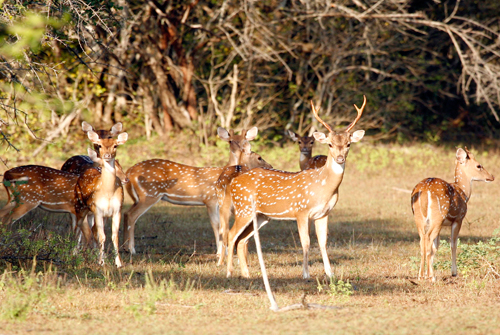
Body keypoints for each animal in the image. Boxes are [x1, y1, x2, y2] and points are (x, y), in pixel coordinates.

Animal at [124, 127, 266, 256]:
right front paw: (220, 252)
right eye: (230, 141)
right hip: (150, 194)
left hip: (140, 197)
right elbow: (216, 225)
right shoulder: (210, 200)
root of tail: (129, 172)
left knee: (126, 213)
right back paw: (132, 249)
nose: (239, 150)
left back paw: (126, 248)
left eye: (244, 140)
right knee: (131, 215)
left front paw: (224, 251)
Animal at [227, 96, 368, 280]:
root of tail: (233, 183)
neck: (323, 188)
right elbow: (306, 242)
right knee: (231, 235)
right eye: (329, 144)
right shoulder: (301, 211)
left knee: (242, 239)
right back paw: (229, 272)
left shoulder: (324, 213)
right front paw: (305, 274)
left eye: (348, 144)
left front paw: (330, 273)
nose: (339, 158)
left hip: (261, 215)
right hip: (243, 208)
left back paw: (246, 275)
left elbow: (323, 242)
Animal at [412, 148, 494, 282]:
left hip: (419, 217)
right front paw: (454, 272)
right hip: (438, 216)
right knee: (428, 239)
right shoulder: (458, 219)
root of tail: (425, 191)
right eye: (479, 165)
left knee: (422, 241)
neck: (463, 192)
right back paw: (431, 277)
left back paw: (421, 276)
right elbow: (453, 244)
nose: (492, 176)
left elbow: (436, 246)